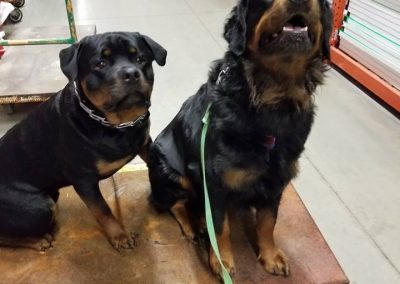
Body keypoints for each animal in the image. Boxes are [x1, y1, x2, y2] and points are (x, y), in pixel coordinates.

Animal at [0, 32, 166, 252]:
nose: (131, 73)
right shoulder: (83, 179)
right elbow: (102, 210)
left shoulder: (145, 144)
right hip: (38, 206)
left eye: (140, 59)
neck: (117, 124)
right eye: (100, 63)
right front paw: (119, 236)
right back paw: (37, 241)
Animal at [148, 0, 332, 280]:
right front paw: (222, 260)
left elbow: (268, 222)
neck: (273, 98)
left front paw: (270, 256)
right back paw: (194, 225)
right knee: (175, 203)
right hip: (167, 169)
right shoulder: (214, 179)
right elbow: (220, 225)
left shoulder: (276, 179)